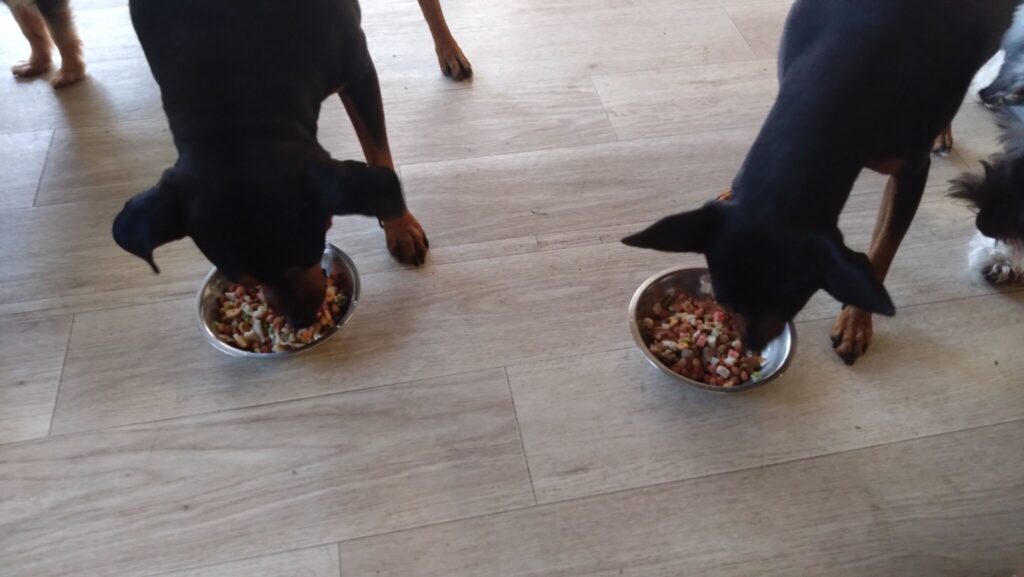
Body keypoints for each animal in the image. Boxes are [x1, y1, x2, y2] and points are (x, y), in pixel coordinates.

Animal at [113, 0, 438, 329]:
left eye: (309, 257)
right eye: (244, 280)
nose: (300, 321)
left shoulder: (358, 72)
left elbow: (378, 151)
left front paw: (401, 228)